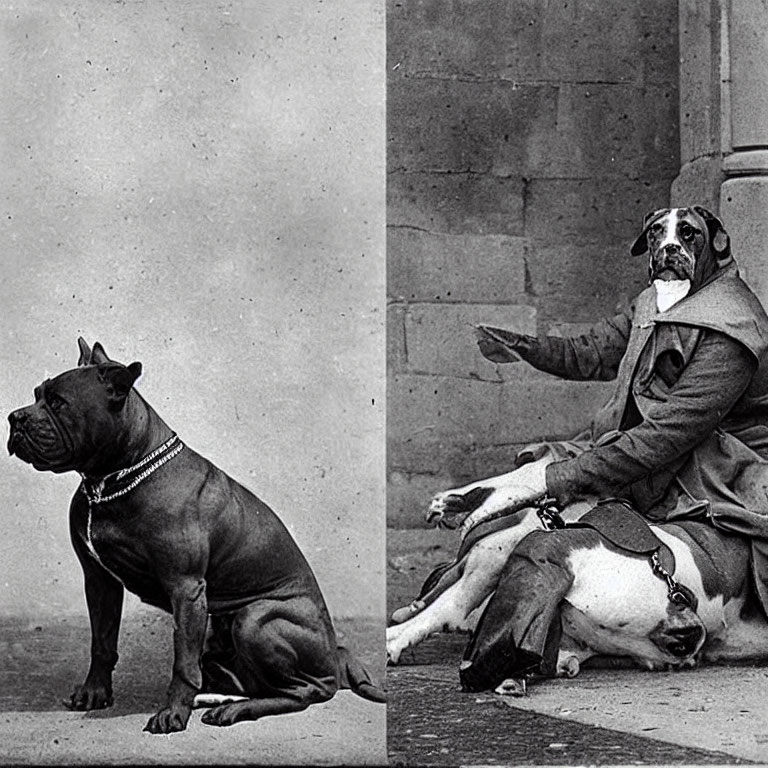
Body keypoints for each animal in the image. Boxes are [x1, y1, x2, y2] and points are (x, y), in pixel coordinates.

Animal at [6, 340, 384, 732]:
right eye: (36, 395)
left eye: (59, 403)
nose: (15, 418)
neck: (112, 478)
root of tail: (335, 656)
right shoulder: (99, 581)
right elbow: (102, 643)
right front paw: (94, 693)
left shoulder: (185, 588)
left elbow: (182, 663)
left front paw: (172, 713)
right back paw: (217, 699)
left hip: (255, 619)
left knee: (306, 691)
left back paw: (235, 710)